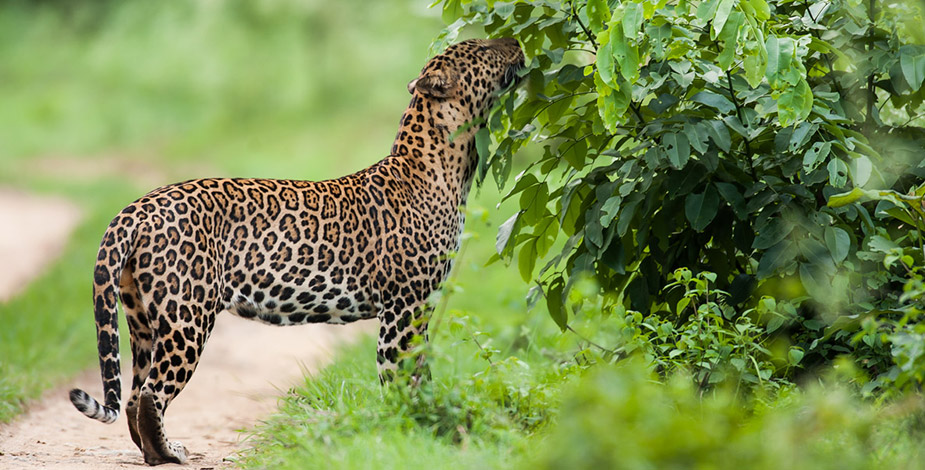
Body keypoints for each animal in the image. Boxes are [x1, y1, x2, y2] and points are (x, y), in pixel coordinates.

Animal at [68, 37, 524, 466]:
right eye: (483, 48)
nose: (515, 42)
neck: (452, 161)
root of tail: (136, 207)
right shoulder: (403, 307)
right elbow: (400, 375)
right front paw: (409, 426)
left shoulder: (421, 307)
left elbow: (421, 372)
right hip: (187, 316)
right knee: (151, 394)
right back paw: (170, 454)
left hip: (141, 318)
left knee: (133, 394)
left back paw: (151, 452)